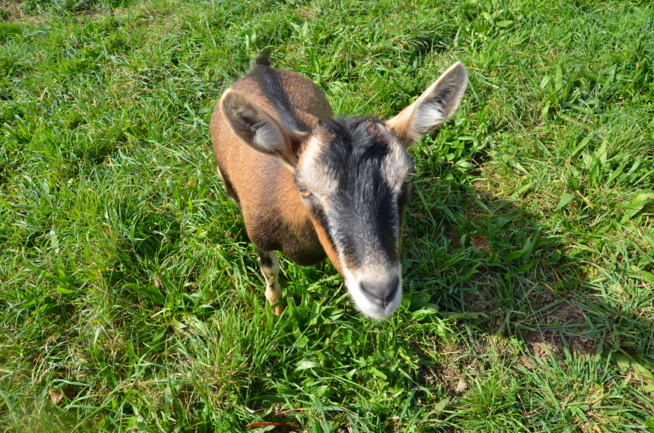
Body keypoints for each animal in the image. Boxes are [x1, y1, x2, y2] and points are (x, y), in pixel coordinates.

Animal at [210, 50, 466, 318]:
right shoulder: (259, 238)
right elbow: (270, 270)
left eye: (406, 178)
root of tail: (261, 70)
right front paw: (276, 309)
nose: (380, 294)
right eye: (305, 189)